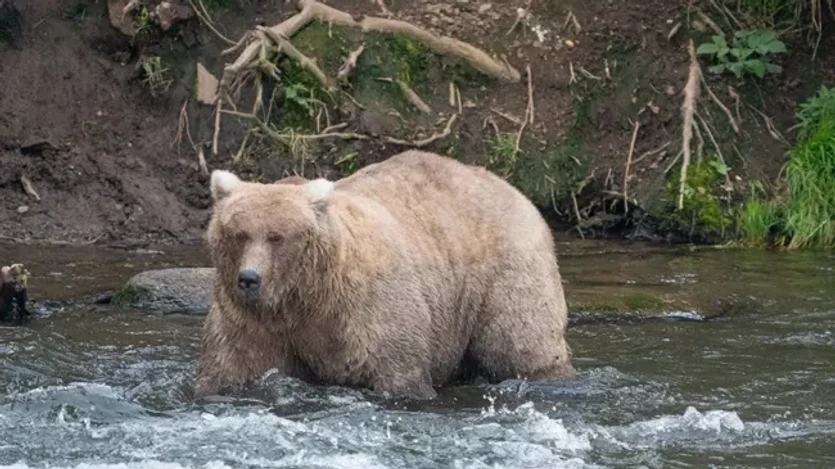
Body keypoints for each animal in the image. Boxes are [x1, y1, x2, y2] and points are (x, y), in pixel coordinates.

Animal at [194, 150, 574, 400]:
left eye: (277, 237)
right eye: (239, 234)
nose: (249, 278)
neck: (306, 297)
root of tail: (513, 189)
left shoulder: (368, 309)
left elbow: (398, 369)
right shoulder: (253, 322)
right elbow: (233, 366)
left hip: (505, 272)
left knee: (520, 343)